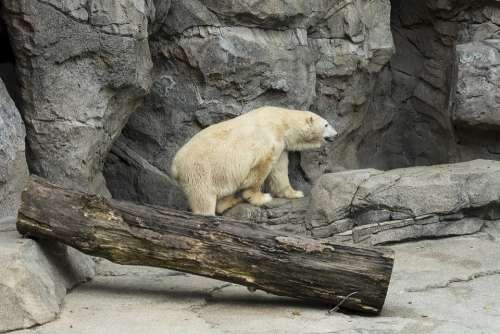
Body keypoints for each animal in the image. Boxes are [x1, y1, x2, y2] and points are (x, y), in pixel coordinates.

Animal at [170, 107, 338, 217]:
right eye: (326, 124)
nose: (336, 134)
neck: (281, 121)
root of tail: (175, 165)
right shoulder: (268, 138)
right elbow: (261, 167)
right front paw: (260, 197)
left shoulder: (281, 144)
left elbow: (280, 170)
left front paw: (295, 193)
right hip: (200, 169)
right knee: (203, 197)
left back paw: (229, 202)